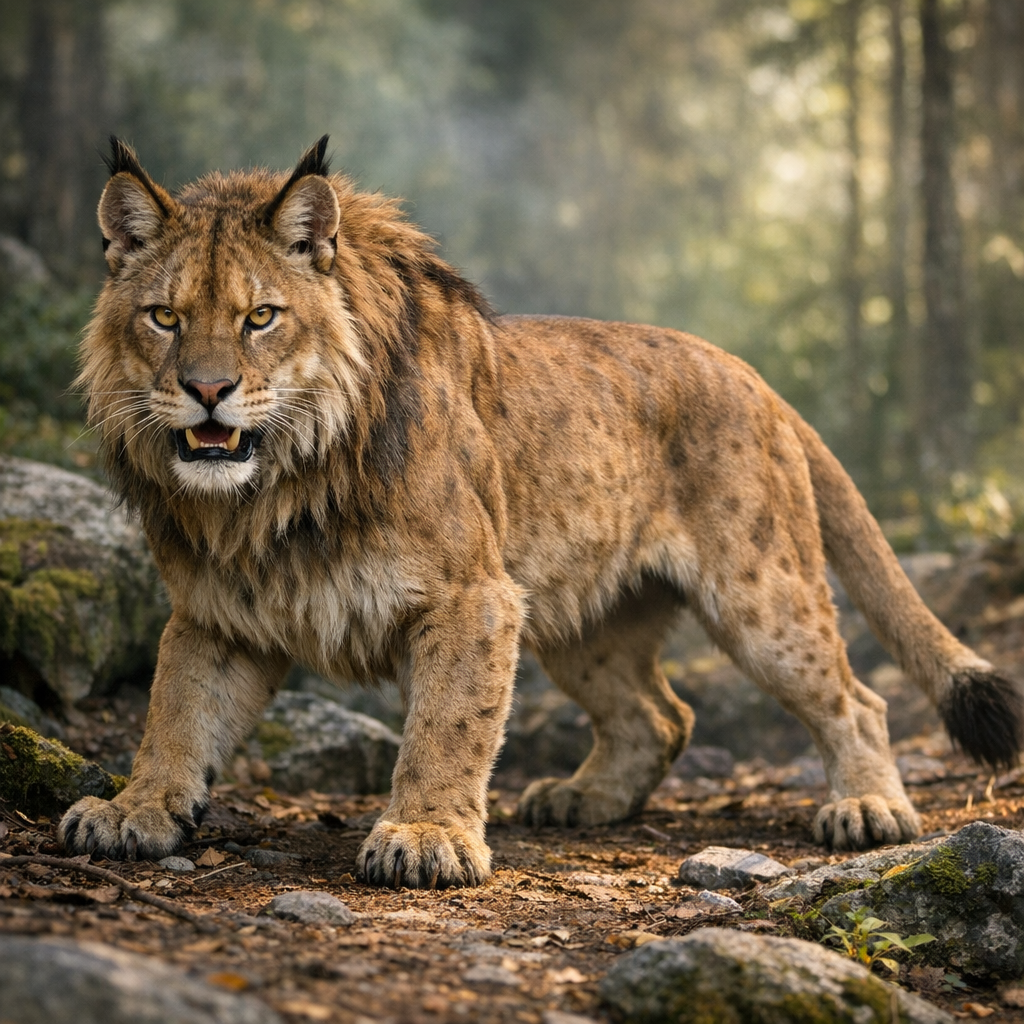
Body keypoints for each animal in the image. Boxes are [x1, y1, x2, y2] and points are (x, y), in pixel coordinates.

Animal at [60, 137, 1023, 888]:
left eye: (261, 317)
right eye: (163, 317)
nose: (207, 392)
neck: (273, 492)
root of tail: (754, 376)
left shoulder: (474, 596)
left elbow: (446, 725)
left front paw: (426, 838)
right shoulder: (217, 614)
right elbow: (176, 715)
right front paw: (133, 810)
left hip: (762, 596)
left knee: (855, 700)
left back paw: (868, 809)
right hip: (580, 619)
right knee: (659, 717)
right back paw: (582, 798)